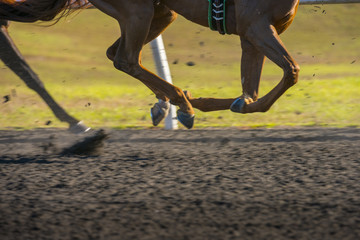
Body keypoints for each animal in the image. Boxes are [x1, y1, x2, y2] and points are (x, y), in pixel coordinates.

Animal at [0, 0, 300, 129]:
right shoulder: (257, 26)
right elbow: (291, 72)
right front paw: (193, 100)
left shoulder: (253, 34)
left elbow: (251, 94)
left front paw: (218, 102)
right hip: (137, 11)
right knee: (126, 59)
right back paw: (181, 102)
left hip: (161, 12)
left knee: (117, 54)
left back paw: (170, 102)